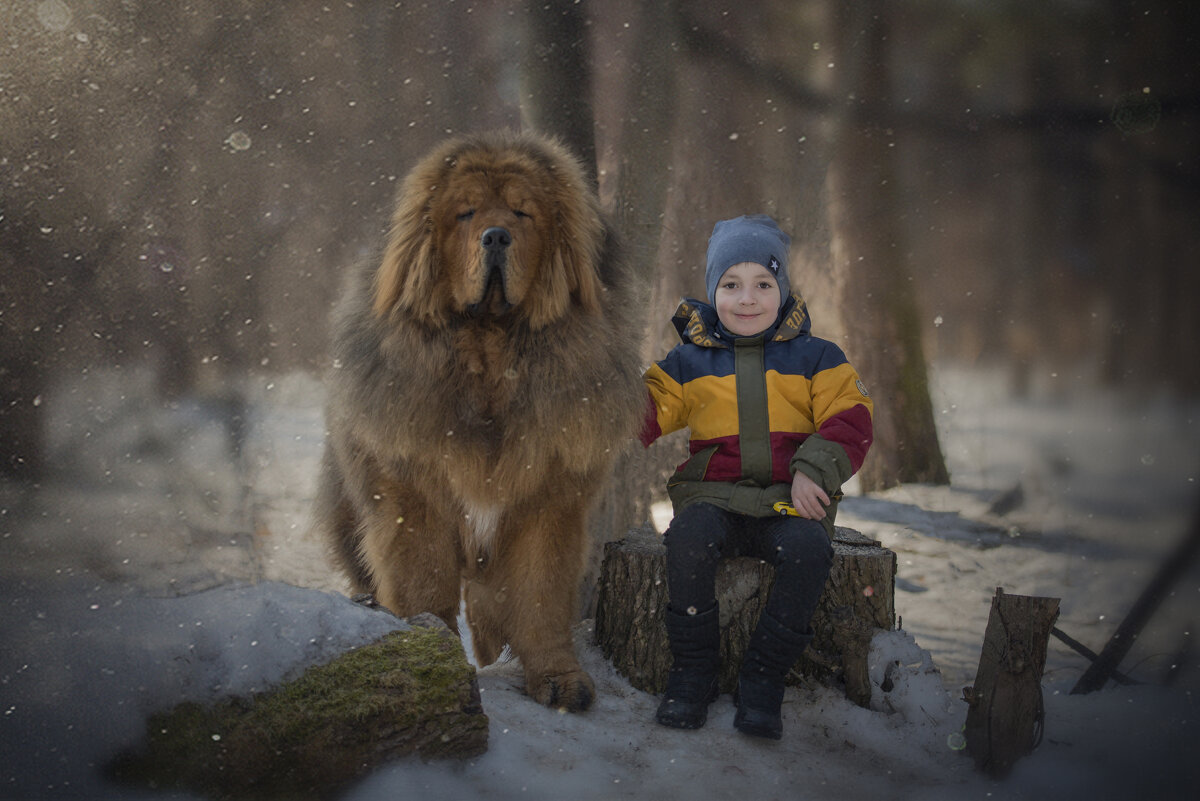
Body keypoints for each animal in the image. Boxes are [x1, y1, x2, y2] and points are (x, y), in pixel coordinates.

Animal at [314, 131, 643, 714]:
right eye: (466, 214)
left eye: (522, 212)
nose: (495, 235)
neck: (491, 352)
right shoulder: (412, 500)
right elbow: (425, 587)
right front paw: (433, 666)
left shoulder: (548, 503)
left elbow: (540, 598)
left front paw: (558, 678)